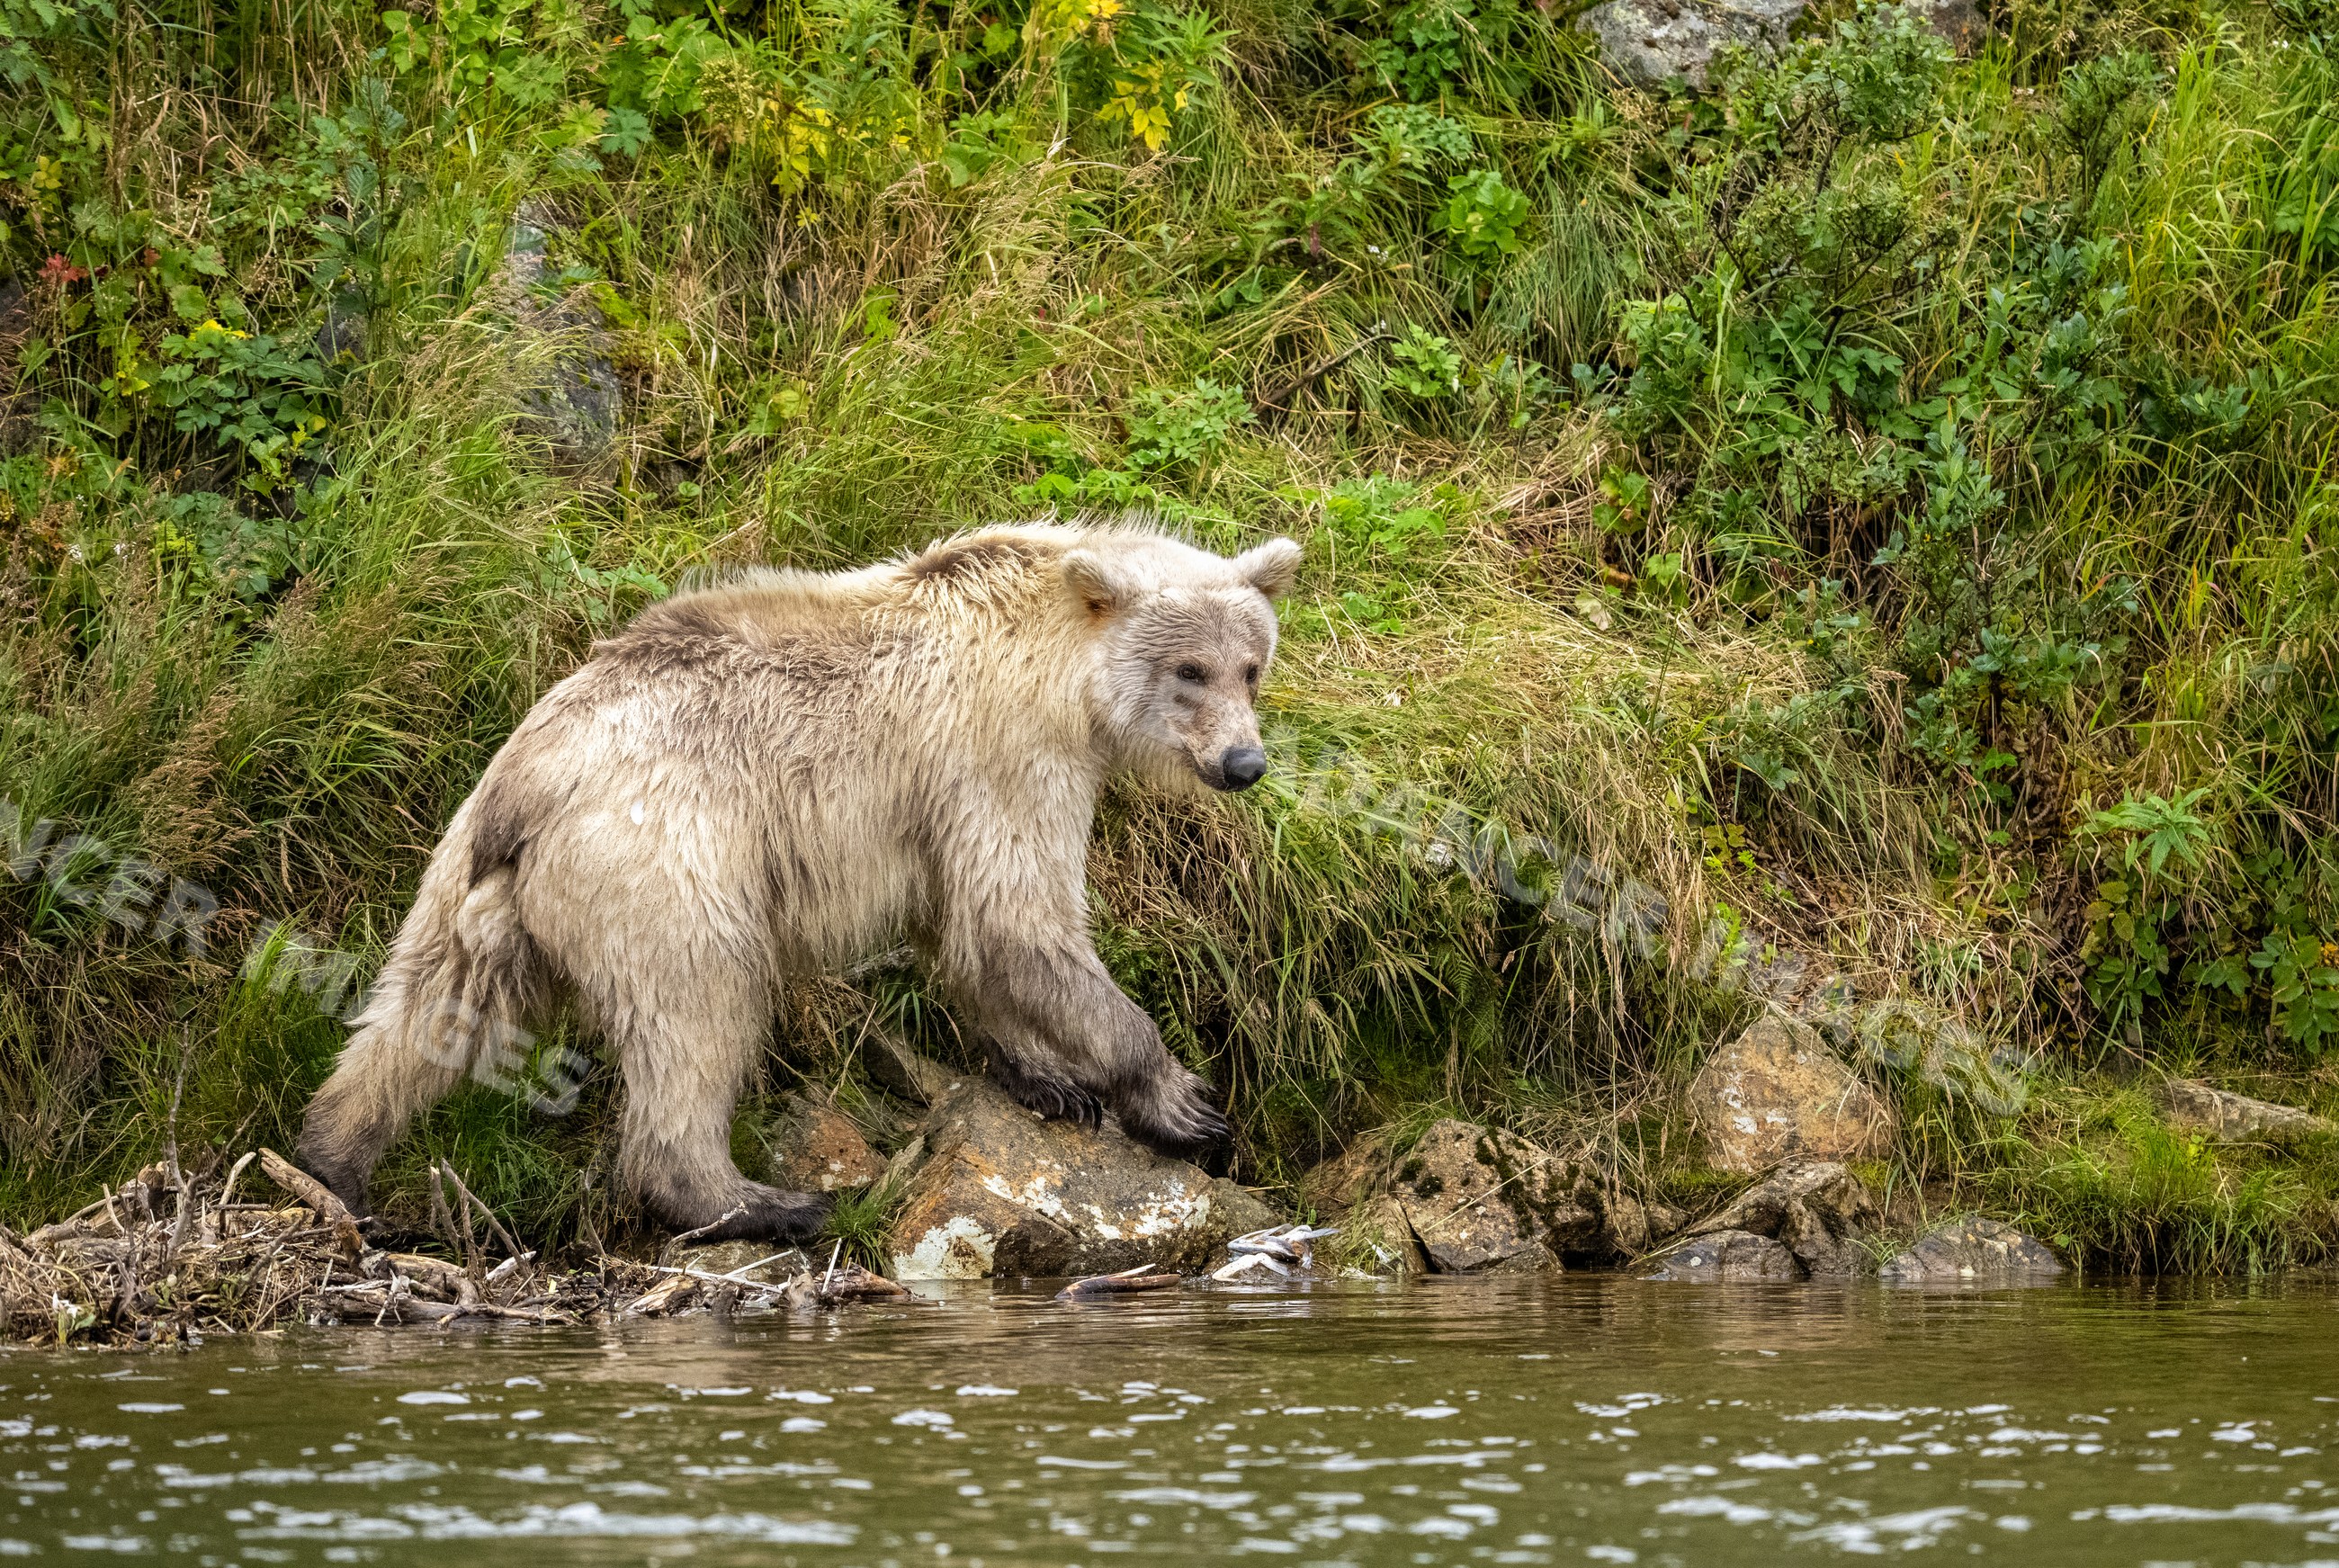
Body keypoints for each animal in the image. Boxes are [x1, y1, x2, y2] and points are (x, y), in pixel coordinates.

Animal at [296, 520, 1303, 1241]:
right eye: (1189, 669)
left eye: (1251, 666)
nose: (1243, 763)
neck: (1061, 672)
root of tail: (533, 776)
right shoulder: (1003, 756)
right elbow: (1020, 920)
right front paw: (1184, 1103)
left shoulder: (943, 805)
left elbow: (969, 933)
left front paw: (1047, 1077)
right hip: (665, 862)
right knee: (698, 1014)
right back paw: (762, 1202)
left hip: (471, 874)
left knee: (419, 1014)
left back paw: (333, 1161)